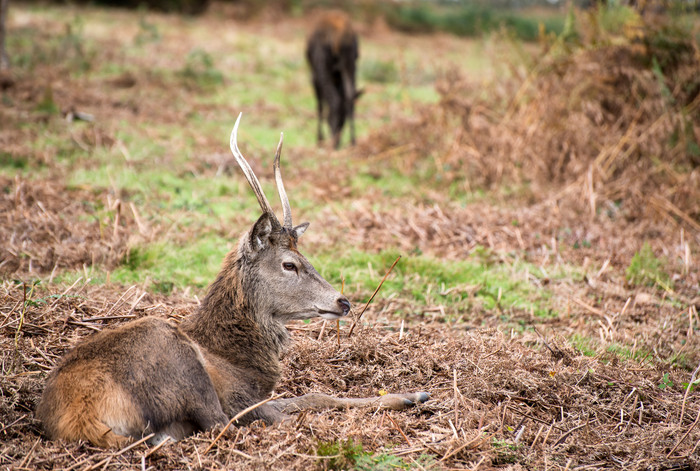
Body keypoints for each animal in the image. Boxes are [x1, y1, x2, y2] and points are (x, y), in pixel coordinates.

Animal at [37, 115, 432, 450]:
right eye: (289, 264)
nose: (343, 301)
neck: (242, 359)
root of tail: (81, 419)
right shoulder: (244, 397)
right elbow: (313, 398)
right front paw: (413, 395)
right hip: (180, 362)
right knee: (219, 424)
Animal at [304, 10, 360, 149]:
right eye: (342, 120)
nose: (338, 139)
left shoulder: (315, 76)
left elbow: (319, 105)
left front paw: (319, 138)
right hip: (351, 64)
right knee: (349, 98)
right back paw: (352, 141)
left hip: (322, 68)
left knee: (335, 100)